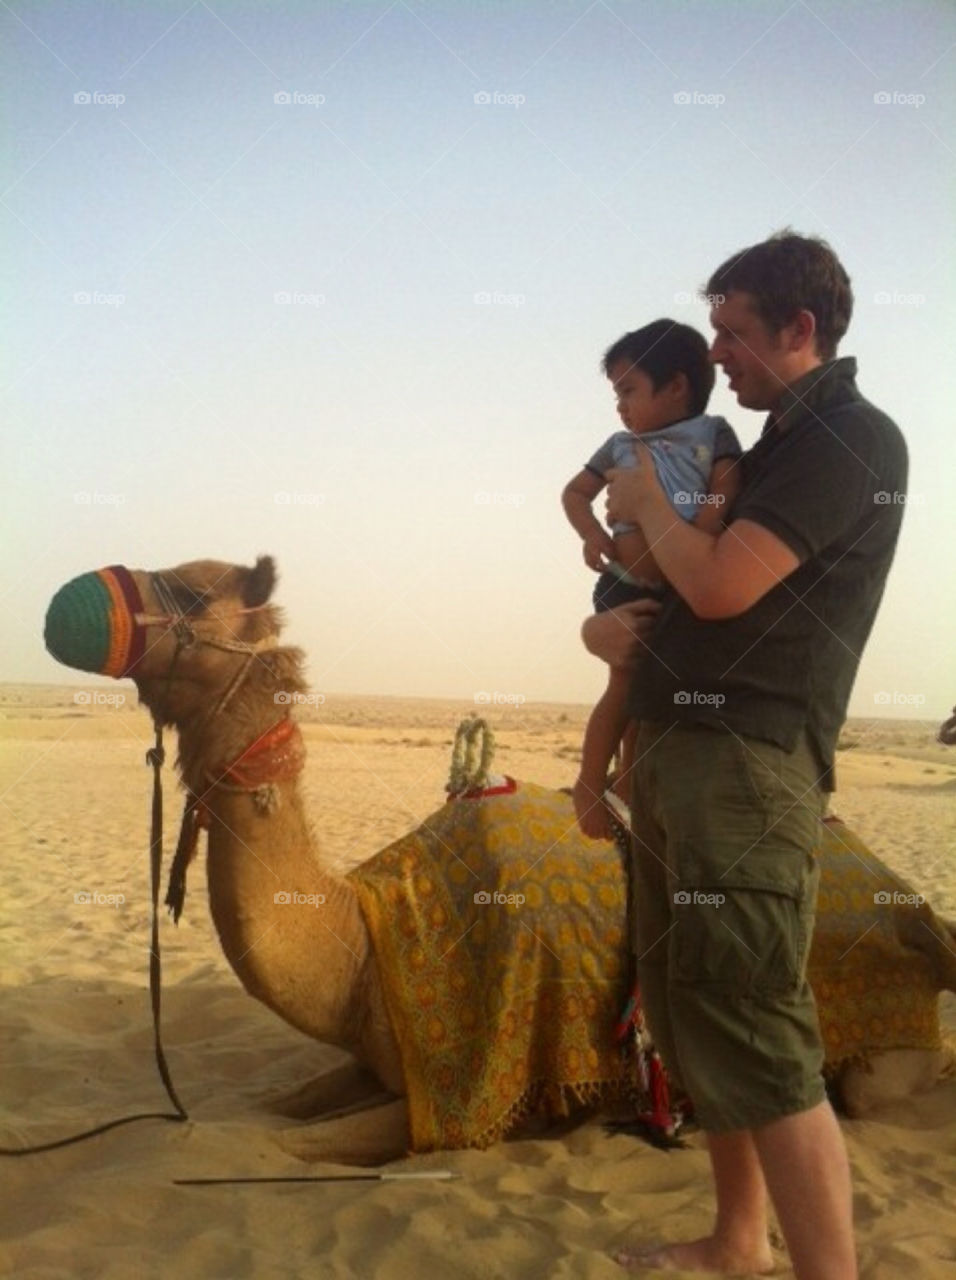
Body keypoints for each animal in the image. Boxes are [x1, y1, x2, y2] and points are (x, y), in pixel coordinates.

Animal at [42, 555, 956, 1167]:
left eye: (196, 593)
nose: (74, 600)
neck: (367, 938)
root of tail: (910, 902)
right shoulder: (377, 1059)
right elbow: (270, 1107)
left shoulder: (453, 1098)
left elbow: (265, 1148)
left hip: (880, 1037)